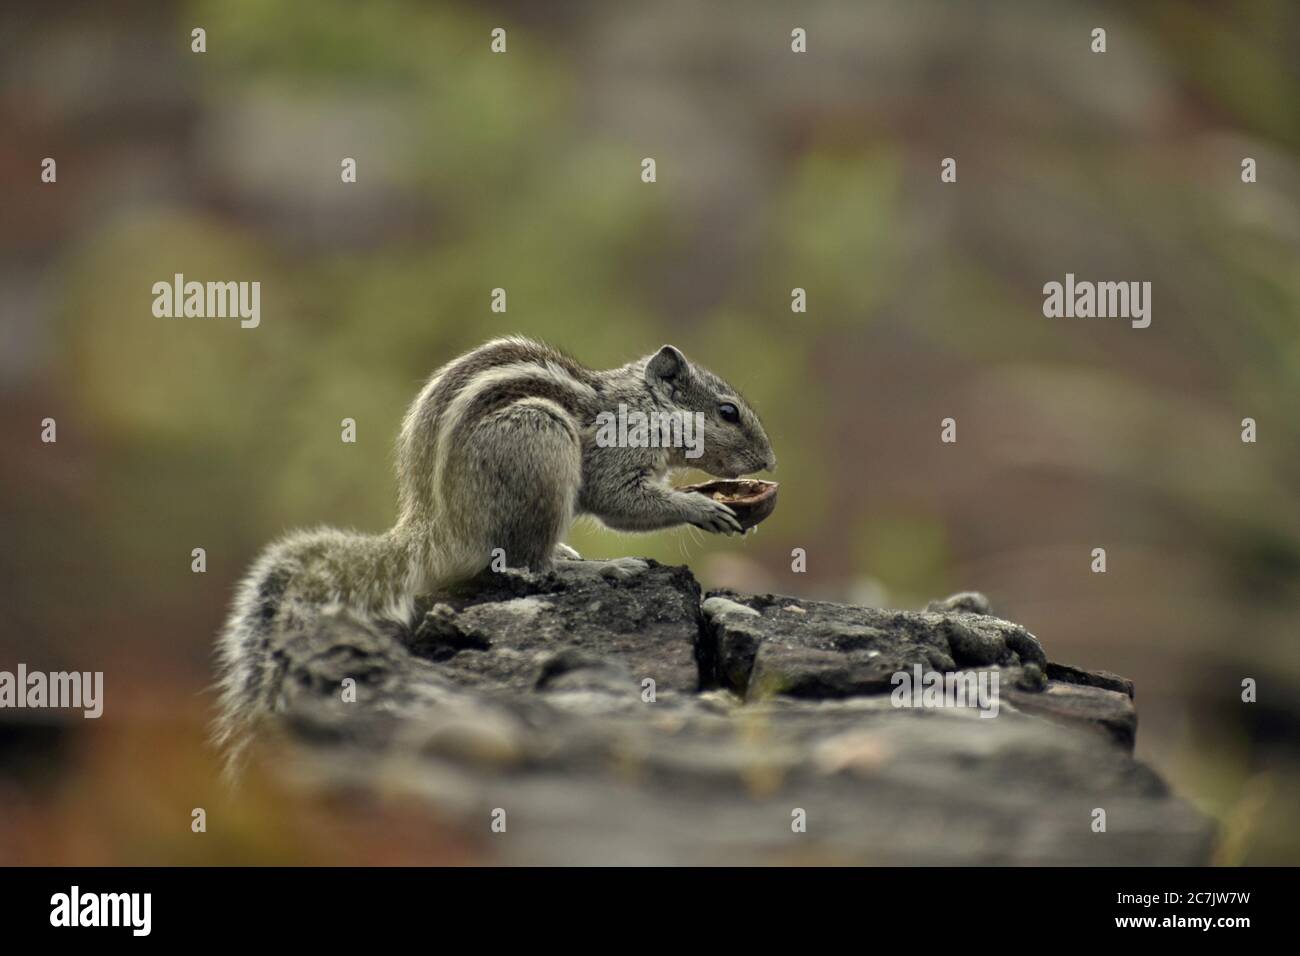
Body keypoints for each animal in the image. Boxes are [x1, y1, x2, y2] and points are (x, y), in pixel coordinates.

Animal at [215, 335, 769, 770]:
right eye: (727, 412)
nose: (770, 461)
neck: (642, 405)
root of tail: (433, 530)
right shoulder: (616, 458)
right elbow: (621, 503)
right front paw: (701, 506)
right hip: (542, 442)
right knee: (529, 566)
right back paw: (601, 568)